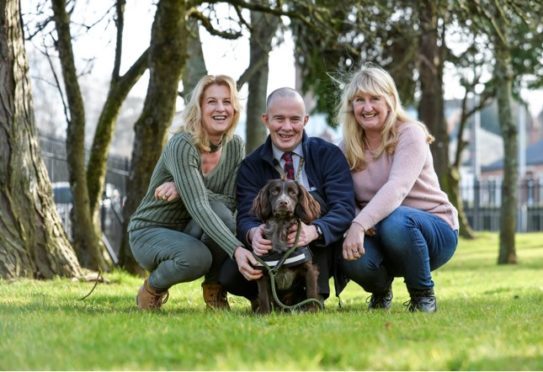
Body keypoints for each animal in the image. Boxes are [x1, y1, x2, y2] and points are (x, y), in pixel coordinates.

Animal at [252, 179, 324, 312]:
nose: (283, 203)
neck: (280, 227)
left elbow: (311, 293)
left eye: (293, 193)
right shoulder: (263, 273)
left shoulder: (310, 270)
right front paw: (264, 313)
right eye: (274, 191)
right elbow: (264, 297)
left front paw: (312, 311)